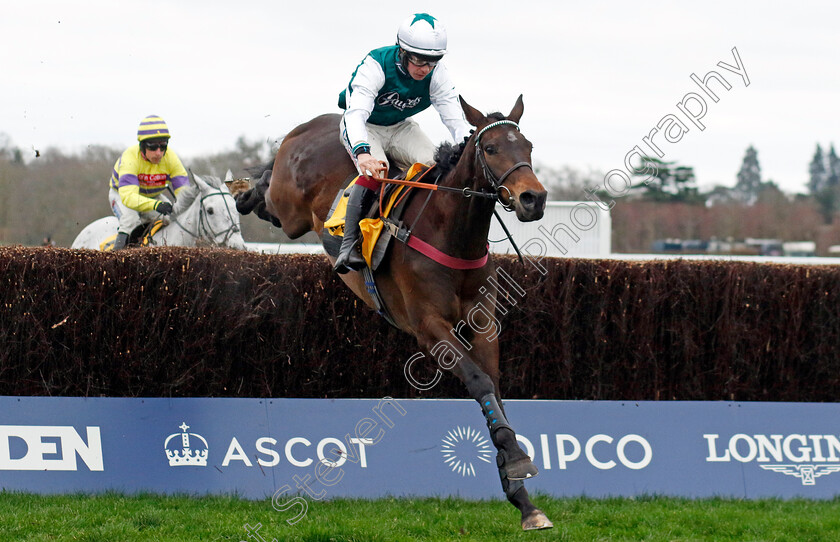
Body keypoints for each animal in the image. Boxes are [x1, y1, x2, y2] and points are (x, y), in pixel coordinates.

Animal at [236, 94, 552, 532]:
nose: (532, 199)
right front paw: (517, 461)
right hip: (293, 208)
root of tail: (312, 124)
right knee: (271, 196)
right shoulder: (429, 328)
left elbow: (495, 391)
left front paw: (522, 495)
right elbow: (479, 382)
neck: (451, 235)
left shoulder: (484, 325)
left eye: (529, 147)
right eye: (490, 148)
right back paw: (244, 190)